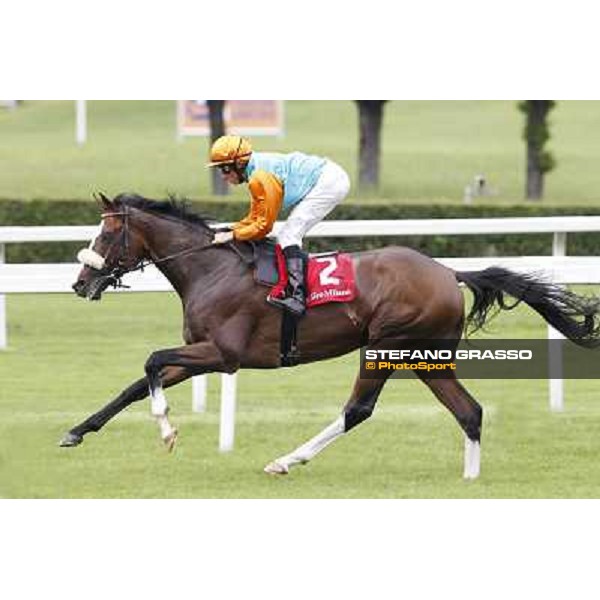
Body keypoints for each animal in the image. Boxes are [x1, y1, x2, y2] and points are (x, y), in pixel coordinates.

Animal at [59, 195, 600, 480]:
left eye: (104, 237)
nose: (80, 283)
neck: (211, 269)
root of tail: (450, 272)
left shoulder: (224, 354)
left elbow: (150, 361)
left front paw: (167, 430)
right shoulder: (199, 352)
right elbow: (136, 381)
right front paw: (77, 431)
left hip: (385, 345)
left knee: (358, 410)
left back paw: (286, 460)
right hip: (425, 356)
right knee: (469, 411)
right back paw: (470, 480)